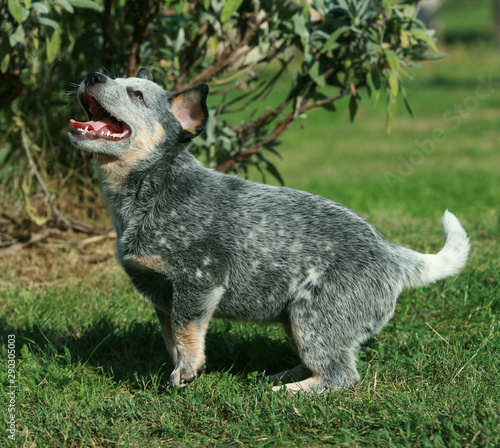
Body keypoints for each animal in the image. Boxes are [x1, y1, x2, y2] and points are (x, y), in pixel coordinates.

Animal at [68, 68, 470, 394]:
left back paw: (287, 393)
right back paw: (279, 376)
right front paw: (179, 370)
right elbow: (172, 338)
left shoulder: (198, 281)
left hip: (316, 317)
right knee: (318, 364)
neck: (153, 187)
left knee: (340, 376)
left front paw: (188, 371)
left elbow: (187, 331)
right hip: (295, 321)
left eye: (136, 94)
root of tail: (394, 256)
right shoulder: (161, 294)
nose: (92, 74)